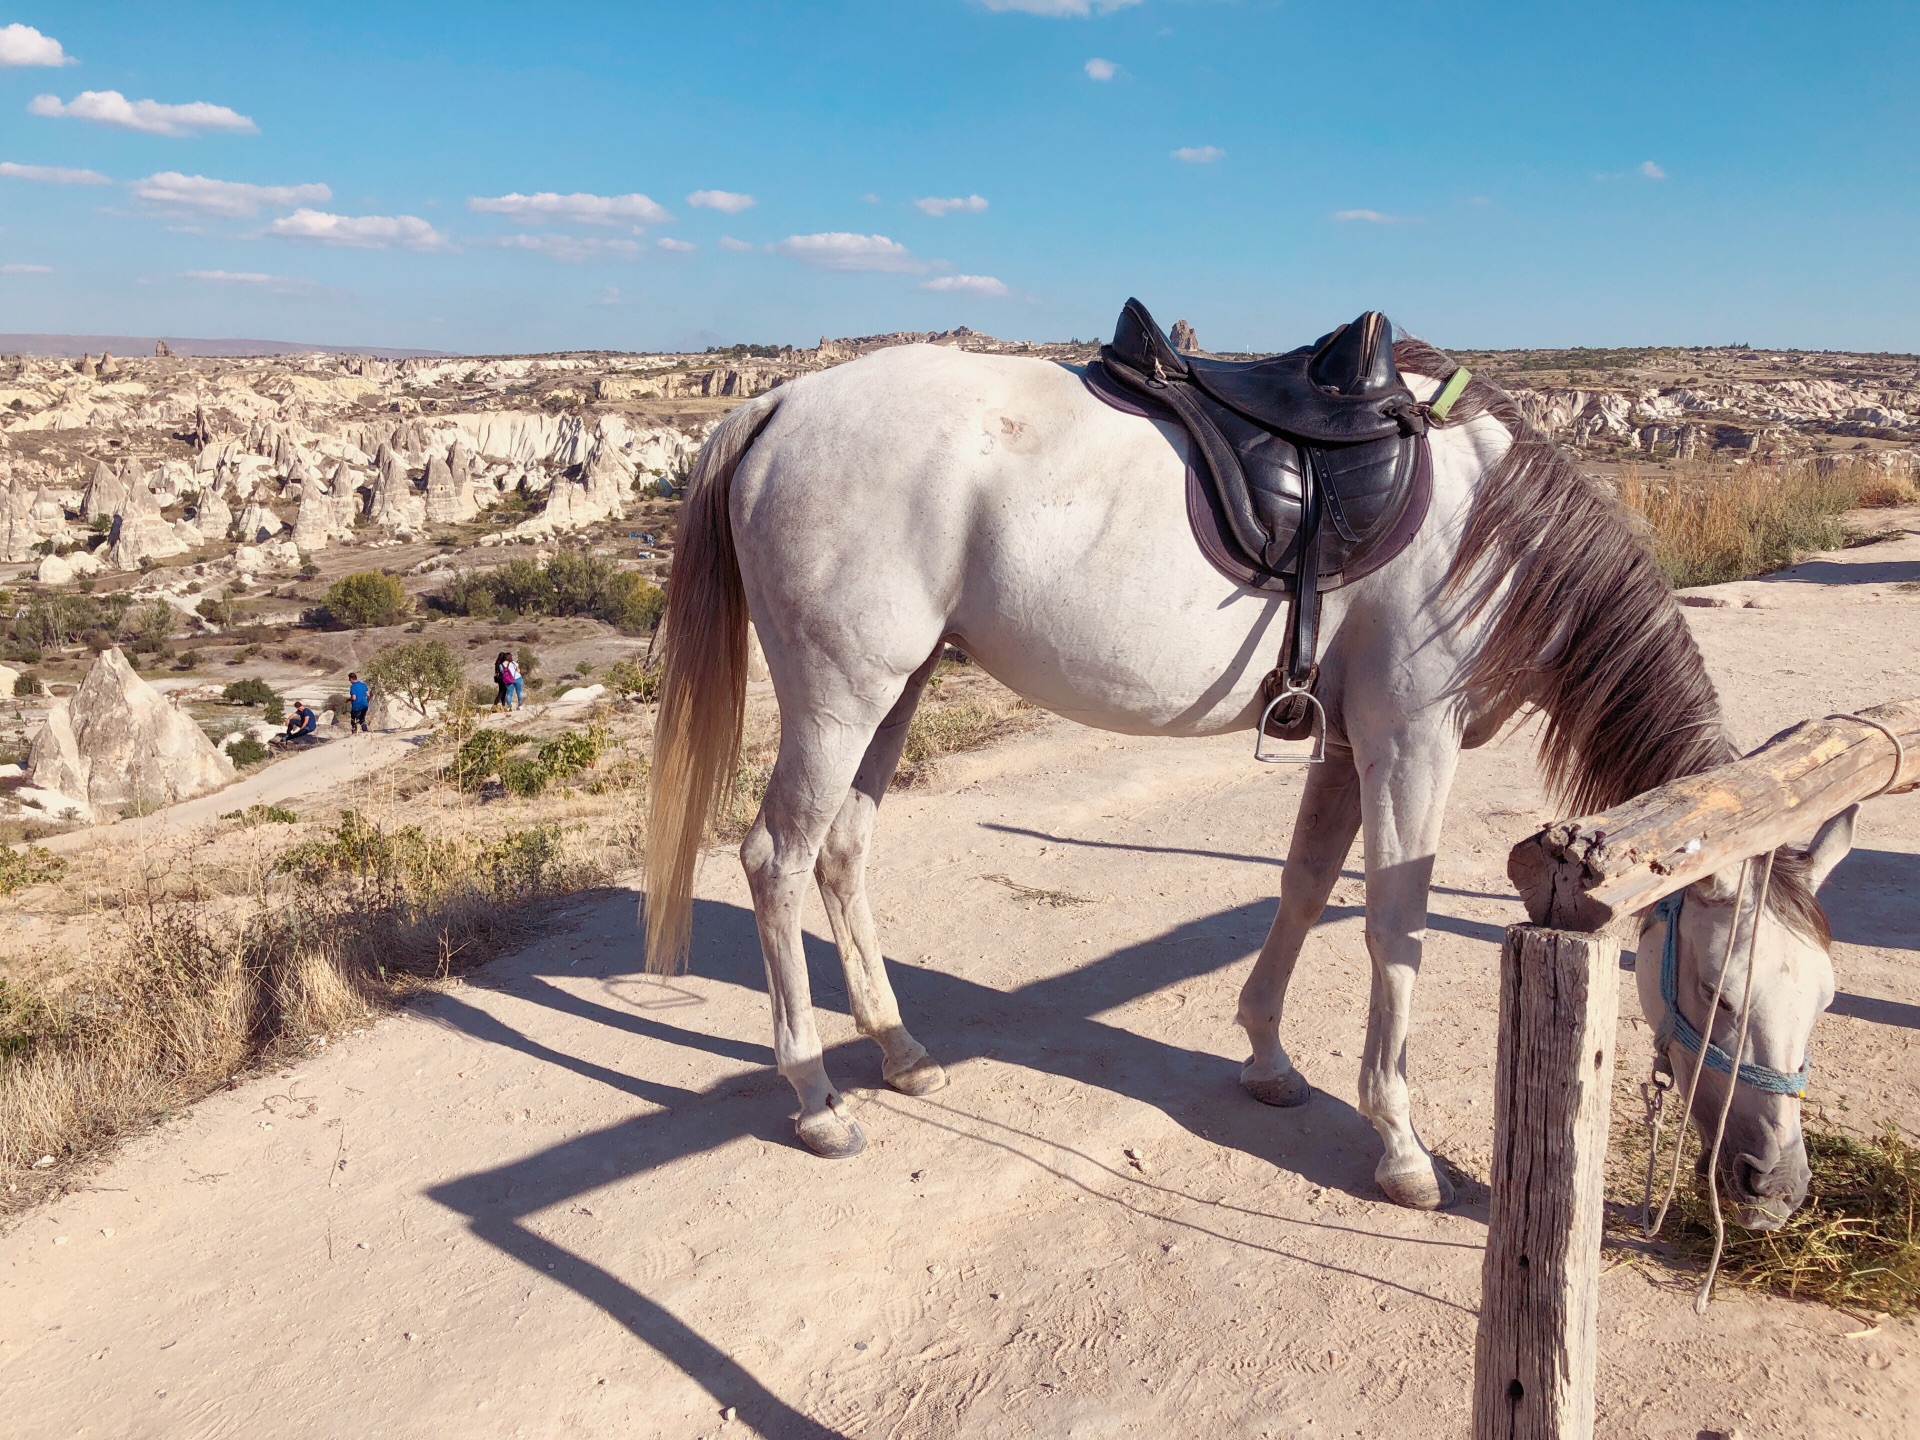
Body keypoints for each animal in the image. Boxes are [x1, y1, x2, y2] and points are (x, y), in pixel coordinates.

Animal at [652, 332, 1850, 1221]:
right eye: (1718, 991)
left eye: (1827, 997)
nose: (1776, 1188)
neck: (1494, 532)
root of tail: (782, 404)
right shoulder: (1412, 738)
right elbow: (1396, 924)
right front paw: (1401, 1147)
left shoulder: (1348, 742)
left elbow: (1307, 886)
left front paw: (1268, 1058)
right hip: (840, 695)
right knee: (777, 858)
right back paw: (815, 1096)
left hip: (892, 692)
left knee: (843, 854)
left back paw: (900, 1051)